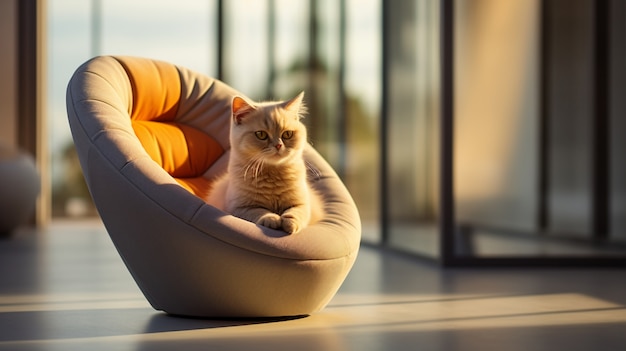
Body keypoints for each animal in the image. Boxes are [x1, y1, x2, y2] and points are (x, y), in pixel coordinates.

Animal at [205, 92, 322, 235]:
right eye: (261, 134)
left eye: (287, 134)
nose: (278, 145)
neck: (272, 174)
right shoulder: (240, 207)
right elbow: (259, 211)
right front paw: (272, 219)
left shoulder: (302, 204)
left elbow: (295, 212)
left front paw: (289, 224)